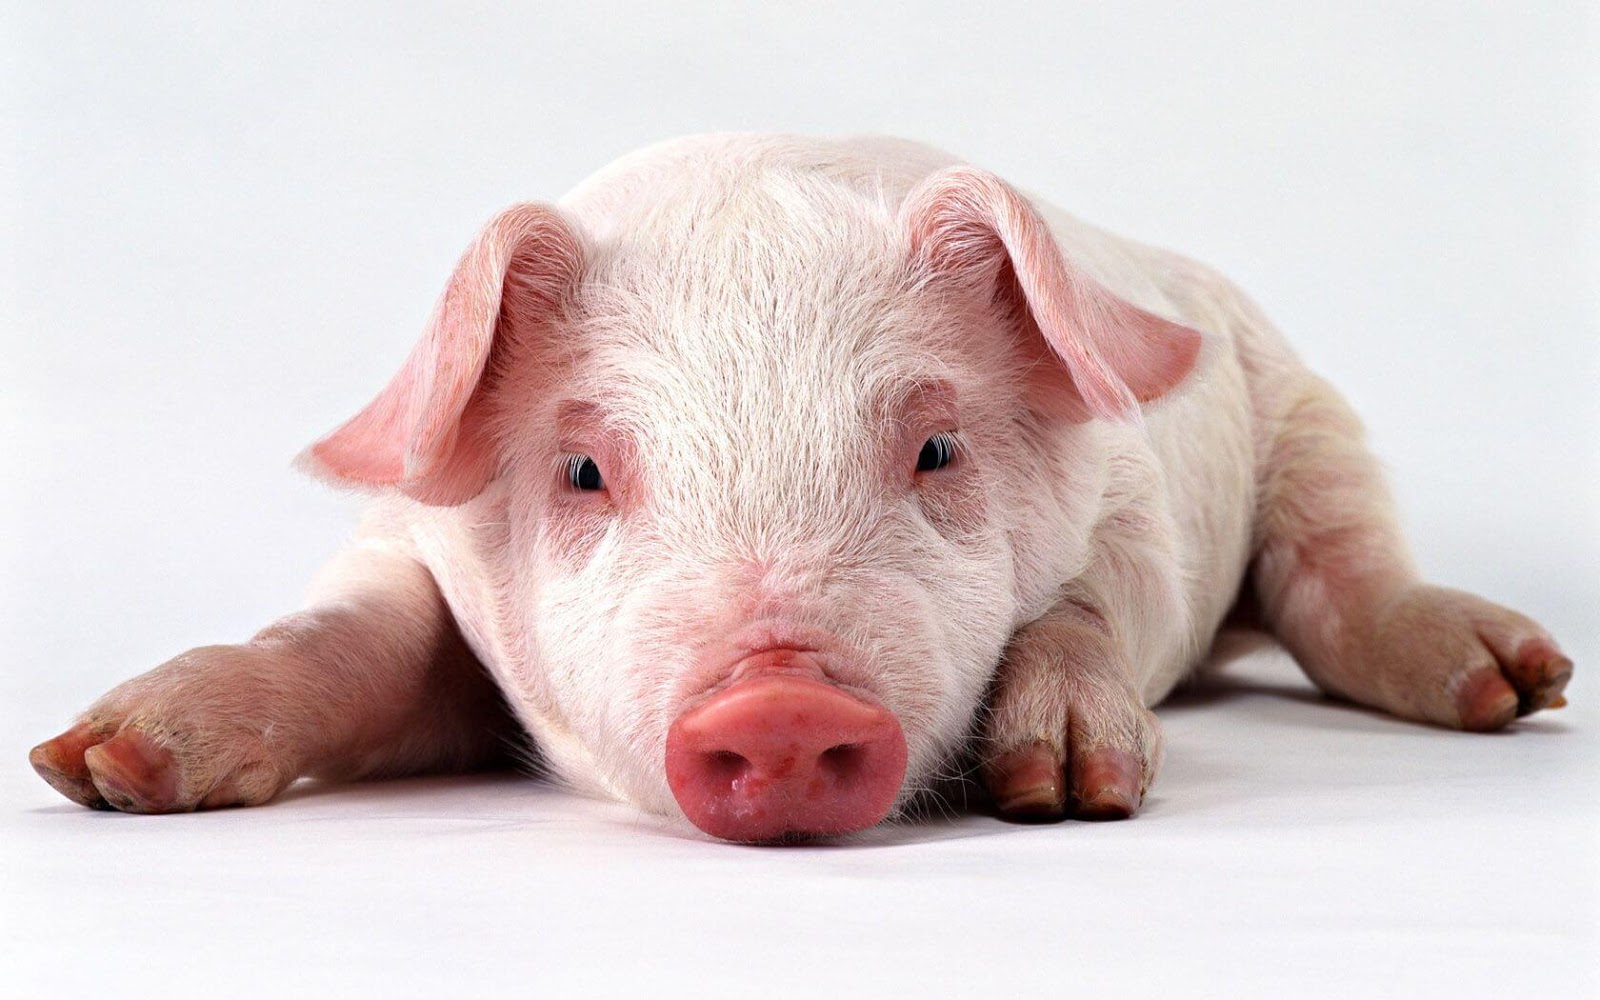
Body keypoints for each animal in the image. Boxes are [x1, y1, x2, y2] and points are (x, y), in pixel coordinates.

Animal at [29, 134, 1573, 842]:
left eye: (938, 451)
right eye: (583, 468)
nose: (778, 702)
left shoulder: (1136, 515)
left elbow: (1079, 606)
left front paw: (1064, 790)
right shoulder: (410, 543)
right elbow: (349, 637)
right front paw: (100, 768)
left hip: (1309, 412)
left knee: (1345, 573)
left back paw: (1516, 683)